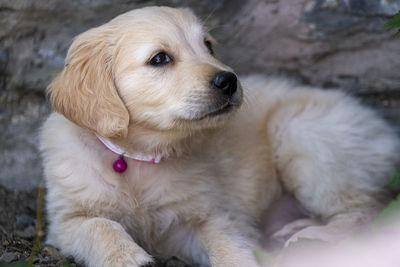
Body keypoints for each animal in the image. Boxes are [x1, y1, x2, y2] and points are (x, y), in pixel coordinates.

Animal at [41, 4, 400, 267]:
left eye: (208, 46)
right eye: (160, 58)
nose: (229, 80)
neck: (137, 157)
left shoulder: (208, 216)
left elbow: (227, 244)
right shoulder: (66, 220)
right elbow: (99, 226)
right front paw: (126, 257)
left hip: (303, 134)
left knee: (366, 211)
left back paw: (310, 238)